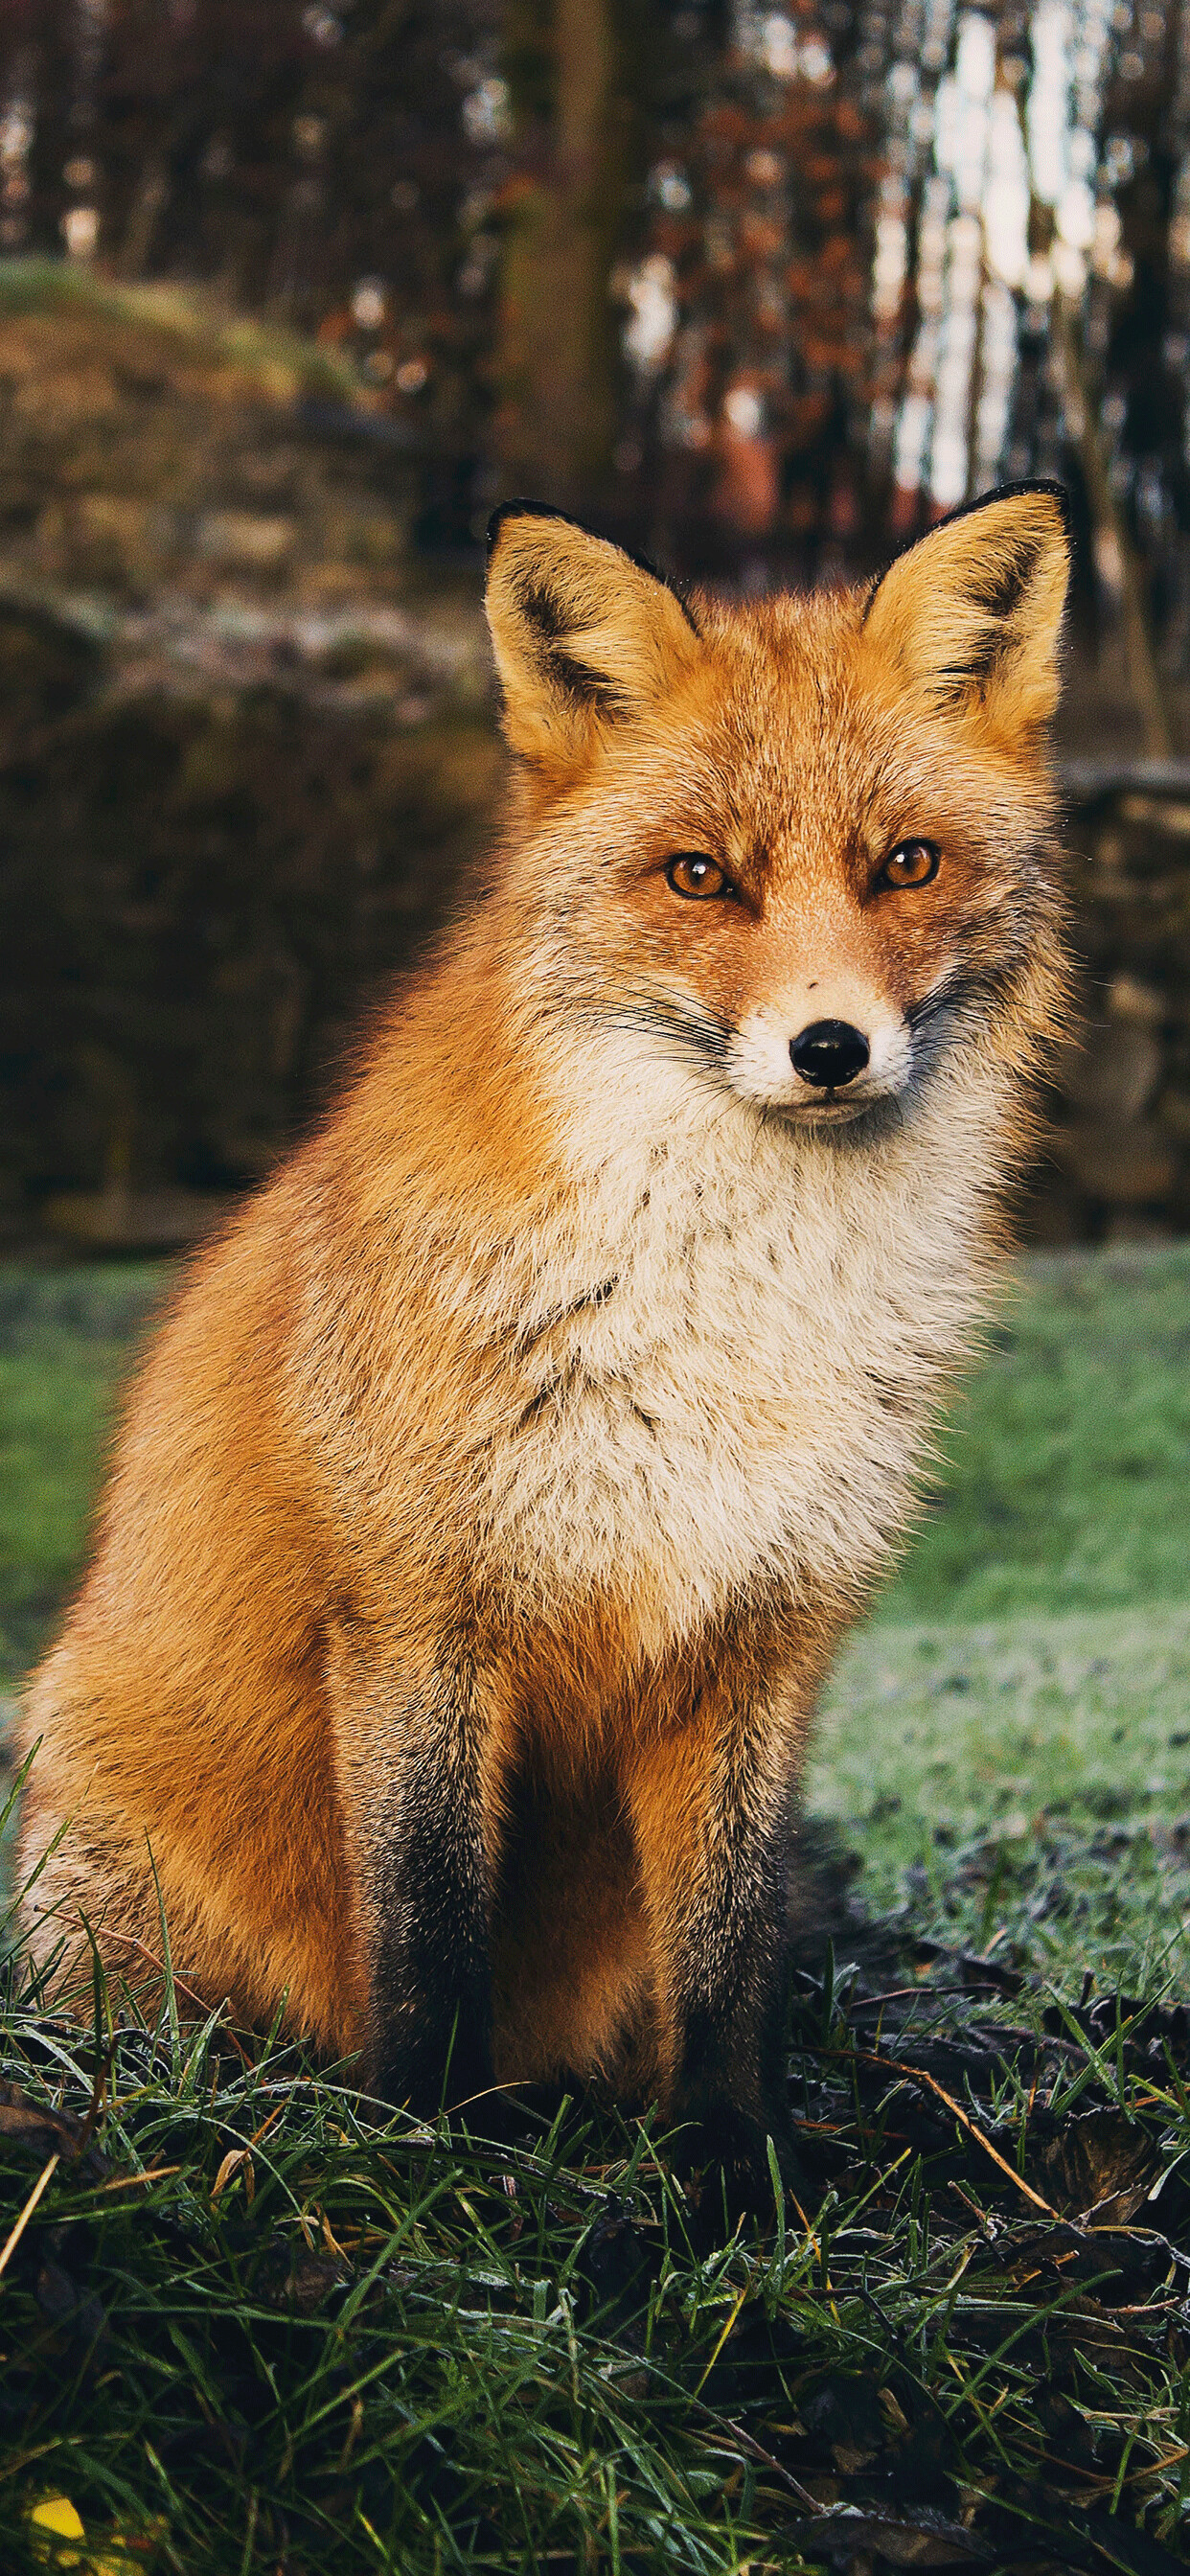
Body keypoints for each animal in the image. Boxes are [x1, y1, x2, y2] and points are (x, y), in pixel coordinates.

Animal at [11, 478, 1071, 2195]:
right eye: (699, 878)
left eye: (905, 864)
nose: (828, 1048)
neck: (725, 1312)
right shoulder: (419, 1615)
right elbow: (430, 1928)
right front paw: (432, 2150)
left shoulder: (756, 1636)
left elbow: (727, 1953)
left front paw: (732, 2169)